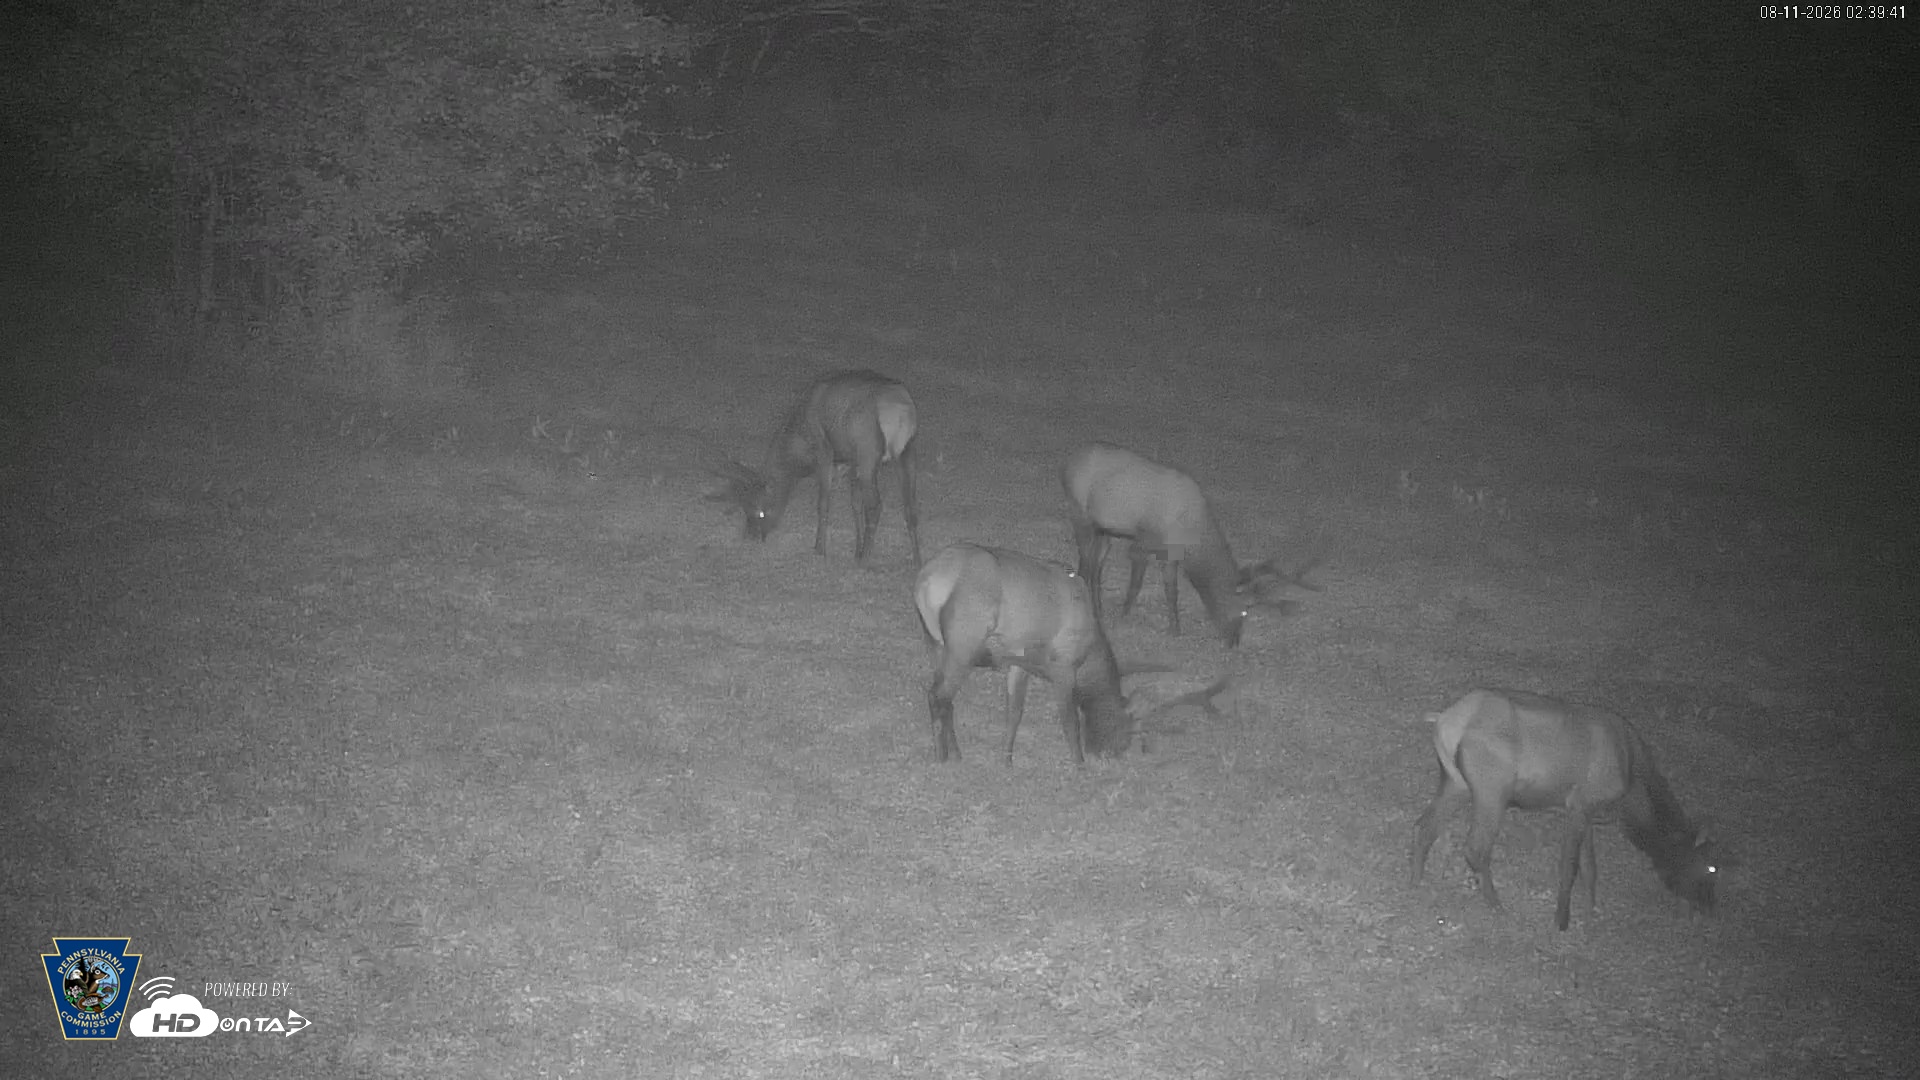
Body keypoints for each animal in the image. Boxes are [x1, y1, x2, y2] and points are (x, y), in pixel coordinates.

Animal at [712, 369, 921, 567]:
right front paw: (856, 550)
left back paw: (865, 560)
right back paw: (917, 560)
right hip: (907, 451)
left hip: (868, 452)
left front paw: (820, 549)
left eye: (760, 511)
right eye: (744, 507)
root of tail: (902, 411)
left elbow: (823, 503)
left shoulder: (824, 450)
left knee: (875, 506)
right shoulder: (851, 460)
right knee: (910, 507)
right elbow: (855, 503)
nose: (751, 536)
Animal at [913, 542, 1230, 764]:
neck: (1090, 649)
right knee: (937, 696)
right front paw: (1078, 764)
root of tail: (926, 580)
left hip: (936, 643)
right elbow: (1069, 719)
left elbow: (1014, 713)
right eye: (1126, 731)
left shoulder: (1019, 661)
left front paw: (1007, 760)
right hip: (964, 642)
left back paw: (956, 755)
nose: (1106, 754)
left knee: (946, 699)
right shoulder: (1063, 665)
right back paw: (942, 757)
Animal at [1062, 442, 1315, 648]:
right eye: (1244, 611)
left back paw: (1098, 608)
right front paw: (1124, 617)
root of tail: (1069, 460)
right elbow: (1136, 584)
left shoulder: (1170, 553)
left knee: (1096, 563)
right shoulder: (1143, 541)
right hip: (1079, 513)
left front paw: (1175, 629)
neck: (1192, 537)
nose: (1234, 641)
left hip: (1103, 529)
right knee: (1085, 564)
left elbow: (1171, 592)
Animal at [1409, 689, 1726, 931]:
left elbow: (1591, 867)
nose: (1711, 908)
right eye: (1711, 867)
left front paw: (1591, 911)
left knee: (1425, 825)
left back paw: (1415, 881)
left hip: (1457, 782)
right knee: (1475, 847)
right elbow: (1570, 866)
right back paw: (1498, 906)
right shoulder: (1579, 804)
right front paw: (1561, 920)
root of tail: (1446, 720)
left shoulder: (1588, 812)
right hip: (1492, 790)